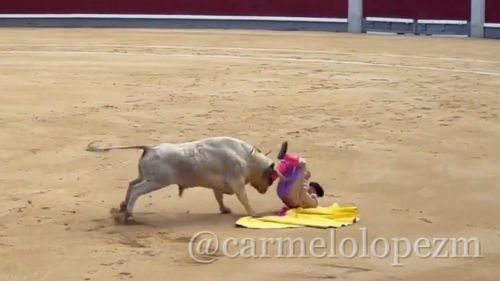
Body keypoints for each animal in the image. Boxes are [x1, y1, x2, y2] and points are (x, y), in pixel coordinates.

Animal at [86, 136, 282, 221]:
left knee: (130, 184)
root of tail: (150, 148)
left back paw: (122, 208)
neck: (248, 157)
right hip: (156, 182)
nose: (265, 190)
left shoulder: (218, 184)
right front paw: (254, 213)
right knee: (136, 190)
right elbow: (244, 198)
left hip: (145, 177)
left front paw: (225, 209)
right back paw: (129, 214)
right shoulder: (237, 181)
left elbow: (219, 197)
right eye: (271, 179)